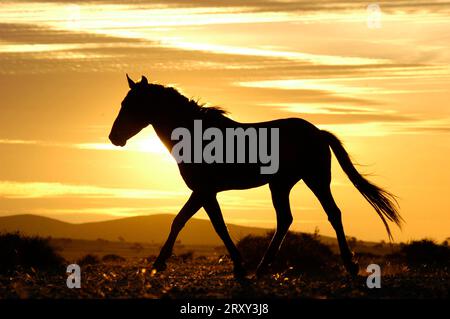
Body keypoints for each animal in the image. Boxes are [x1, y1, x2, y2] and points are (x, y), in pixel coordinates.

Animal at [110, 75, 404, 280]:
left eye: (131, 105)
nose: (114, 138)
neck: (195, 134)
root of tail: (318, 132)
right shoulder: (204, 192)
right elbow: (188, 222)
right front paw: (160, 264)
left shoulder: (205, 190)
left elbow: (208, 225)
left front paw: (238, 267)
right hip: (283, 184)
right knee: (287, 219)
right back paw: (263, 268)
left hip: (314, 180)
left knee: (331, 214)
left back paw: (349, 266)